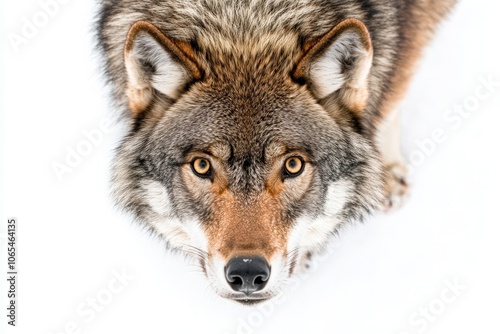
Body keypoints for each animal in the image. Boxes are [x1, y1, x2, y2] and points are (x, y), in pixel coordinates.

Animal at [95, 0, 456, 302]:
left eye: (293, 165)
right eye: (201, 166)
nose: (247, 272)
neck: (243, 21)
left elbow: (391, 102)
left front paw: (387, 175)